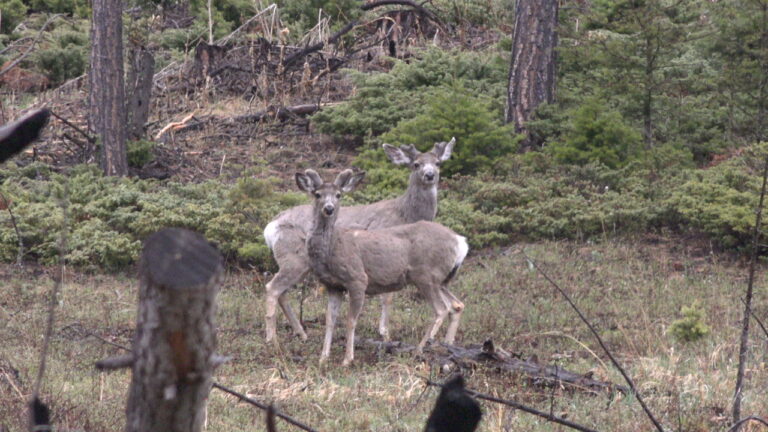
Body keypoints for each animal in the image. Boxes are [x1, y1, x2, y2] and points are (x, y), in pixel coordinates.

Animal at [263, 138, 456, 345]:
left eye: (438, 163)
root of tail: (272, 225)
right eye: (416, 164)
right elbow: (387, 297)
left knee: (282, 291)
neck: (404, 214)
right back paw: (272, 339)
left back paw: (301, 333)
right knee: (273, 288)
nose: (430, 175)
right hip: (293, 257)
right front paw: (385, 332)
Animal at [296, 168, 468, 366]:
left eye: (338, 195)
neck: (332, 248)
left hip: (426, 275)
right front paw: (323, 358)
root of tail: (460, 242)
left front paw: (347, 359)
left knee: (441, 309)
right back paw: (446, 345)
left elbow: (351, 320)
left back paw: (419, 349)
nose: (329, 208)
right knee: (456, 305)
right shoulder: (333, 285)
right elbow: (330, 320)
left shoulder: (357, 279)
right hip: (441, 280)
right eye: (317, 194)